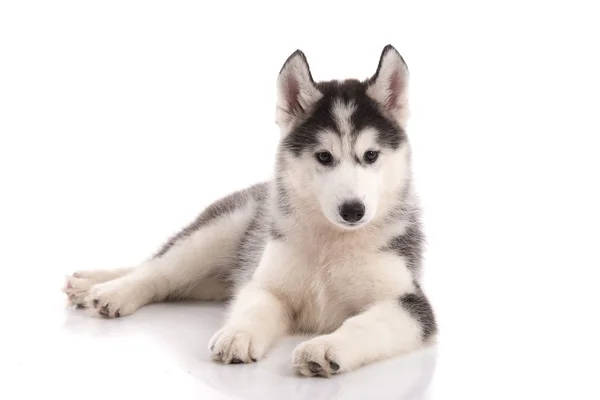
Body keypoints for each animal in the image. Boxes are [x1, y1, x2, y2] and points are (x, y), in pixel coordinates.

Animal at [63, 45, 438, 376]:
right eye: (324, 157)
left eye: (371, 155)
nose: (353, 211)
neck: (334, 241)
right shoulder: (265, 282)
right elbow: (256, 306)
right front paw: (238, 335)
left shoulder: (410, 303)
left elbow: (364, 324)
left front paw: (325, 347)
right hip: (217, 232)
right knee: (158, 269)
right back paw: (109, 289)